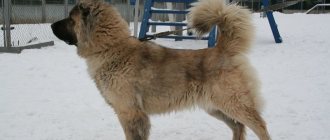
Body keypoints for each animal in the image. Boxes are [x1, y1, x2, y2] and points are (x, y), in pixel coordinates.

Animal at [51, 0, 270, 139]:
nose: (52, 25)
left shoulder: (129, 113)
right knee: (238, 127)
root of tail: (222, 49)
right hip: (215, 107)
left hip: (234, 103)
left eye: (70, 18)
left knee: (259, 126)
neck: (111, 48)